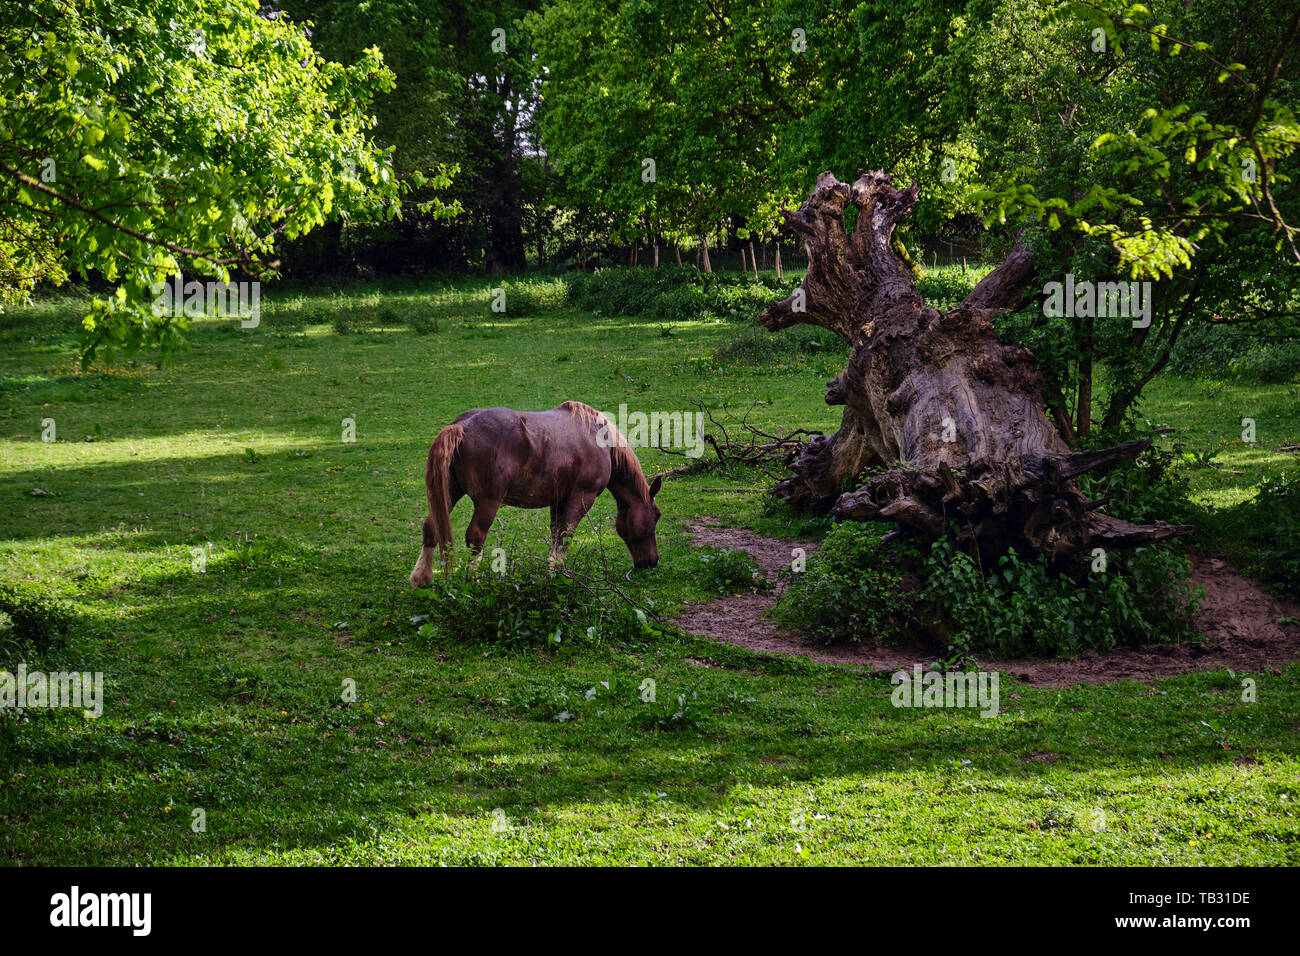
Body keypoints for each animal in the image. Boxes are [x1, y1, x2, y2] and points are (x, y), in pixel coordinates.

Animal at [409, 401, 662, 586]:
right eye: (656, 516)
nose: (651, 562)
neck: (600, 441)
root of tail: (462, 426)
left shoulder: (559, 500)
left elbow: (556, 537)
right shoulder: (582, 497)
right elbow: (565, 537)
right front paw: (556, 577)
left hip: (450, 492)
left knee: (431, 526)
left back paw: (422, 579)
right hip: (487, 502)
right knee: (475, 536)